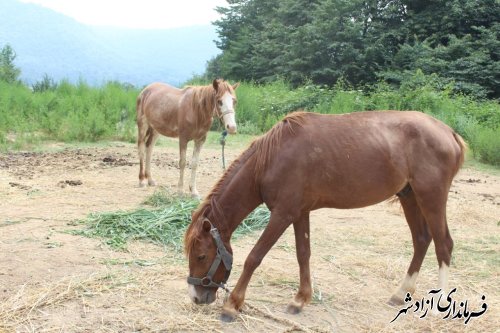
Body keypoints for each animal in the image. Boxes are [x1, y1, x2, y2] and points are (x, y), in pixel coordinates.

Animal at [184, 110, 464, 320]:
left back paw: (440, 303)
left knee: (443, 244)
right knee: (421, 240)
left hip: (431, 197)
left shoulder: (283, 214)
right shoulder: (299, 213)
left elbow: (255, 256)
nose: (196, 297)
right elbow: (303, 254)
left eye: (201, 255)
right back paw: (399, 293)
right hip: (410, 196)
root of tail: (448, 133)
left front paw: (232, 304)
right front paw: (300, 300)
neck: (272, 158)